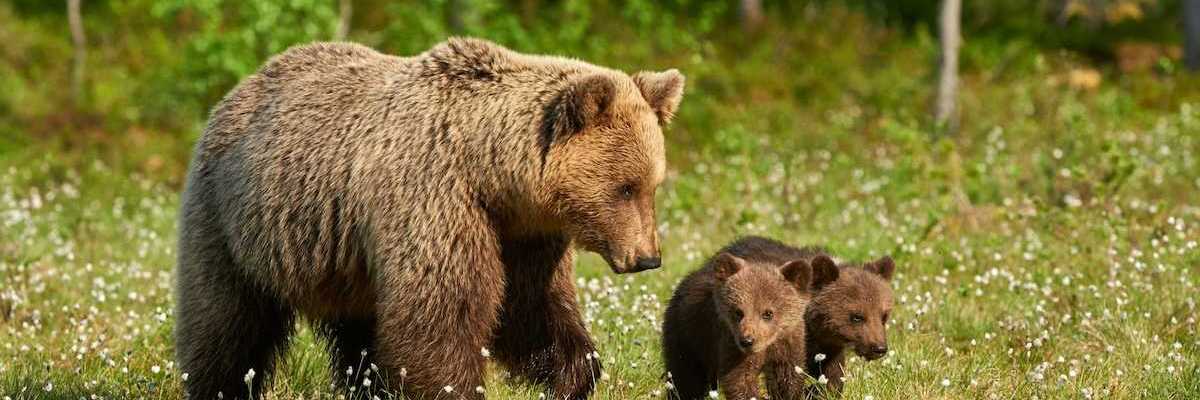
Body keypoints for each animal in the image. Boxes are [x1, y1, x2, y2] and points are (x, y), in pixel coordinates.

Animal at [174, 37, 685, 400]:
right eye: (625, 187)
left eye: (652, 184)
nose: (647, 258)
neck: (490, 173)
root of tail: (241, 87)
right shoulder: (435, 199)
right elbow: (441, 312)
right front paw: (455, 386)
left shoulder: (523, 234)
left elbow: (531, 308)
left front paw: (573, 374)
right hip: (234, 220)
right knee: (226, 321)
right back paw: (218, 383)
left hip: (345, 261)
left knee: (359, 335)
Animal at [662, 236, 834, 400]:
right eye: (738, 311)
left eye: (768, 313)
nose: (747, 340)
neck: (767, 345)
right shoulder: (730, 341)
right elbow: (740, 379)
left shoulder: (788, 340)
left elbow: (786, 377)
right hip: (688, 335)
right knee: (685, 377)